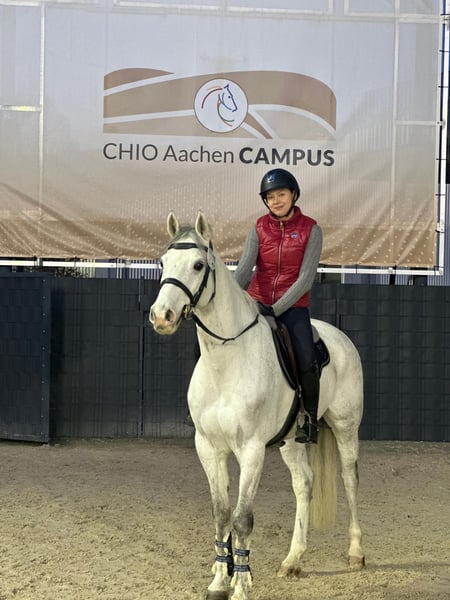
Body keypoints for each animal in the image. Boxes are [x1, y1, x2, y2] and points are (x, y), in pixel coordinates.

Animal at [150, 212, 365, 600]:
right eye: (163, 262)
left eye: (198, 264)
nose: (162, 316)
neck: (226, 361)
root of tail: (340, 338)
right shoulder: (209, 448)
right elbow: (221, 514)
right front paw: (219, 580)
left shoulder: (251, 450)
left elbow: (242, 518)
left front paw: (240, 585)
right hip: (291, 441)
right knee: (304, 484)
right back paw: (293, 560)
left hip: (345, 427)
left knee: (350, 479)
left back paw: (356, 552)